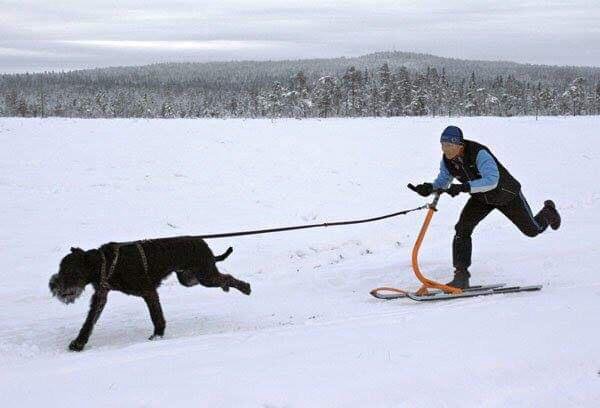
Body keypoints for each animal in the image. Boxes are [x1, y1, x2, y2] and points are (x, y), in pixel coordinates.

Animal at [48, 237, 251, 352]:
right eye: (60, 268)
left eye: (71, 271)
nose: (53, 286)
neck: (104, 263)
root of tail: (204, 244)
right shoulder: (100, 296)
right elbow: (89, 322)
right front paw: (78, 343)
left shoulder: (148, 291)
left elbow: (156, 316)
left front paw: (157, 336)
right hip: (190, 278)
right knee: (223, 278)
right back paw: (229, 287)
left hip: (204, 275)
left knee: (227, 278)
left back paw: (245, 287)